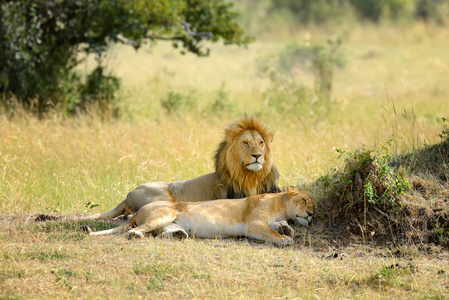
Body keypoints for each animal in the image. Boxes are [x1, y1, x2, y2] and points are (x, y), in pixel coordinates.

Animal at [77, 116, 280, 221]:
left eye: (261, 143)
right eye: (245, 143)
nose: (257, 155)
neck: (250, 176)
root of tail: (127, 195)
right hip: (161, 195)